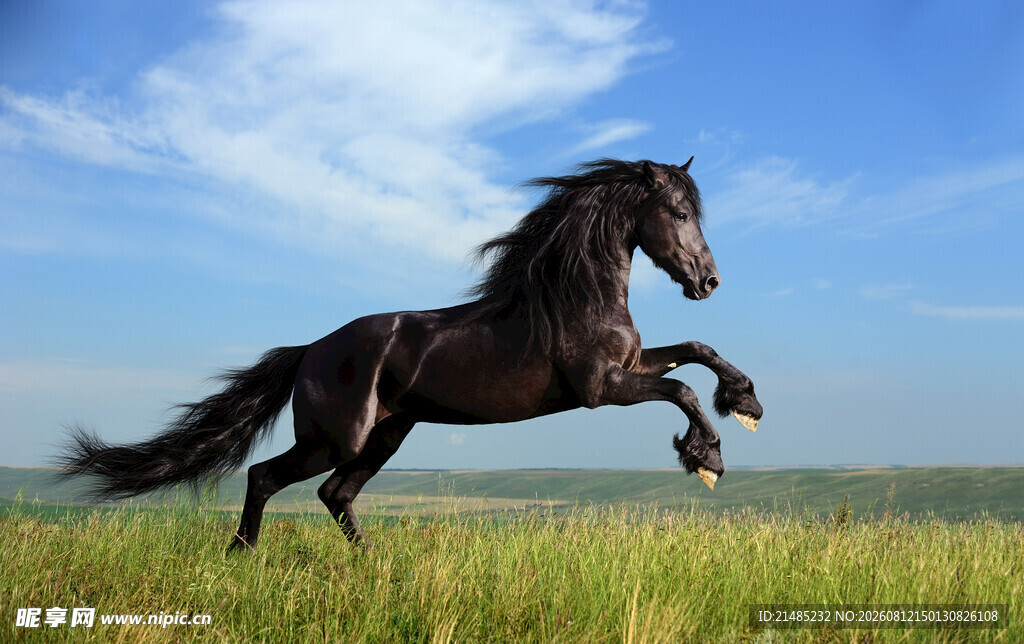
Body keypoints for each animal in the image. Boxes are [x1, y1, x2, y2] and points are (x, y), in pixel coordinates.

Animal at [57, 158, 763, 552]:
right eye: (678, 213)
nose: (708, 281)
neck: (575, 296)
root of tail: (309, 351)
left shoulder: (630, 367)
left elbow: (696, 351)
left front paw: (746, 403)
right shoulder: (600, 388)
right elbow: (682, 389)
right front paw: (707, 458)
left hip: (387, 434)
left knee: (335, 494)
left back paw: (372, 564)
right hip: (336, 437)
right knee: (267, 478)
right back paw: (242, 555)